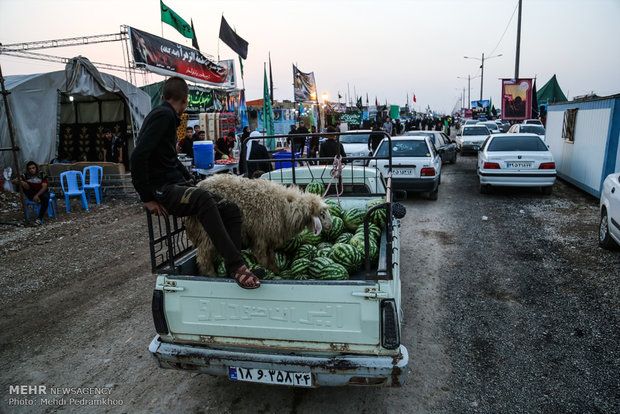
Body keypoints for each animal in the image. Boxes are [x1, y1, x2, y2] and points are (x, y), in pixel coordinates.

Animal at [185, 174, 334, 274]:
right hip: (208, 230)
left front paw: (275, 270)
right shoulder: (260, 236)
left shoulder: (269, 237)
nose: (330, 226)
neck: (285, 207)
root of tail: (199, 185)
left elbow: (271, 257)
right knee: (203, 256)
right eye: (322, 214)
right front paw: (267, 270)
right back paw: (211, 274)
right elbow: (263, 258)